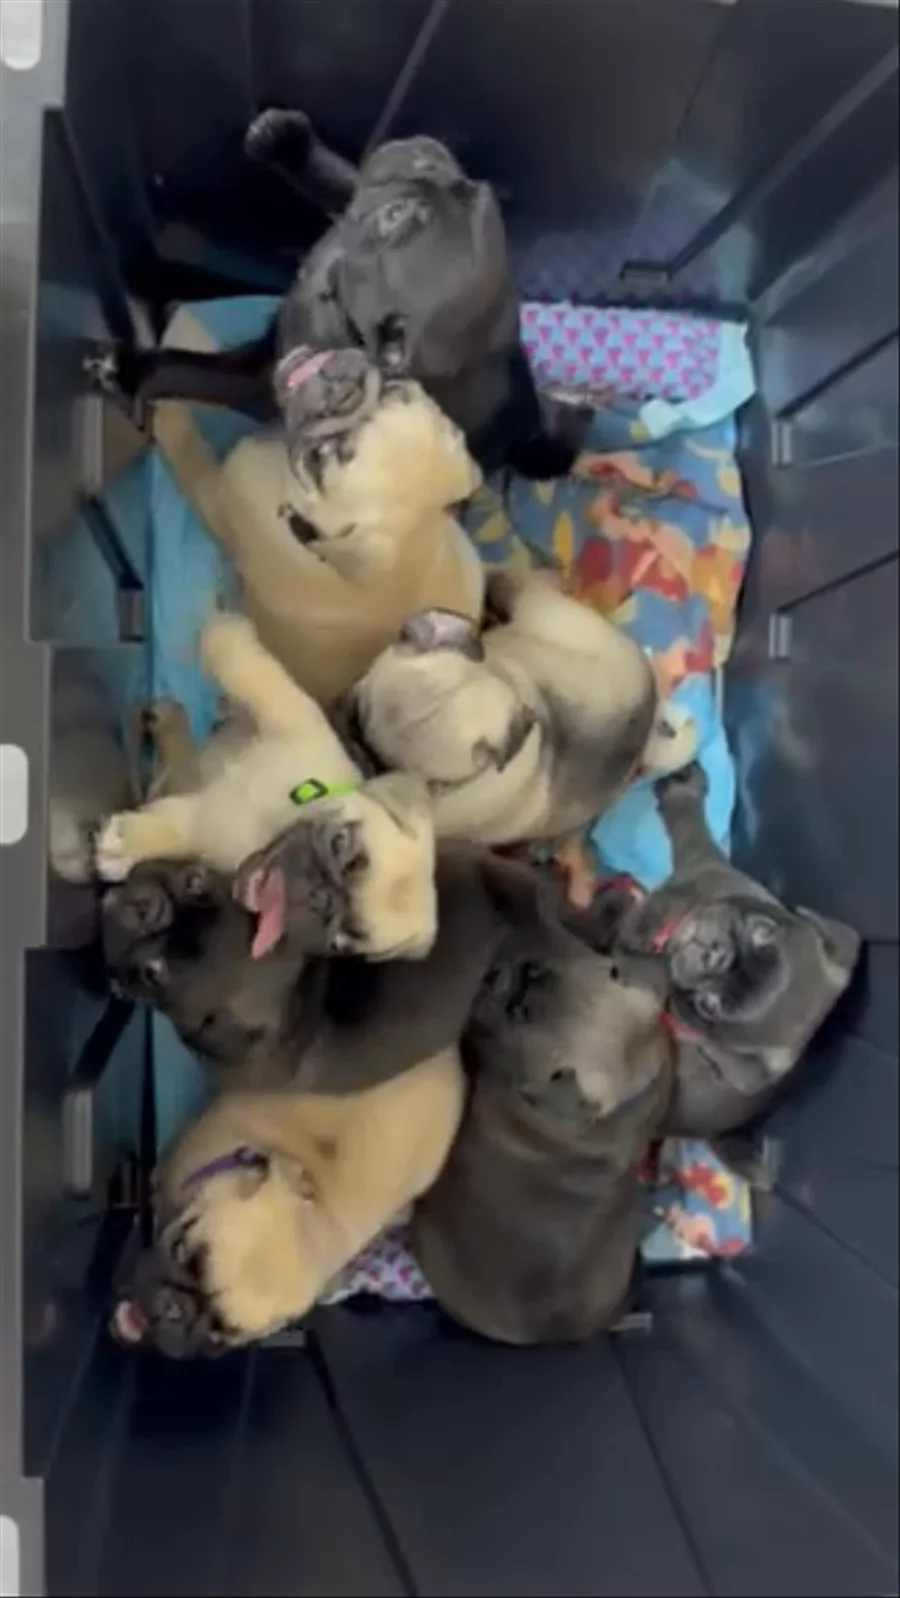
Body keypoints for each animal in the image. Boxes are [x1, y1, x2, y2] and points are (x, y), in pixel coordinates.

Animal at [94, 613, 438, 962]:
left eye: (342, 940)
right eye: (340, 843)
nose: (320, 897)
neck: (278, 819)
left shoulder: (206, 831)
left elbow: (179, 833)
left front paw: (127, 844)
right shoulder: (287, 711)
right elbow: (248, 668)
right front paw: (220, 633)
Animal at [105, 116, 579, 479]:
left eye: (396, 216)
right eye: (468, 185)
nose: (426, 156)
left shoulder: (259, 378)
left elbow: (184, 368)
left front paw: (129, 372)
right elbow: (338, 183)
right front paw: (286, 141)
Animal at [588, 763, 861, 1137]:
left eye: (710, 1005)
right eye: (763, 931)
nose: (716, 956)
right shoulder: (715, 871)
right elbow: (691, 828)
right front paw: (684, 788)